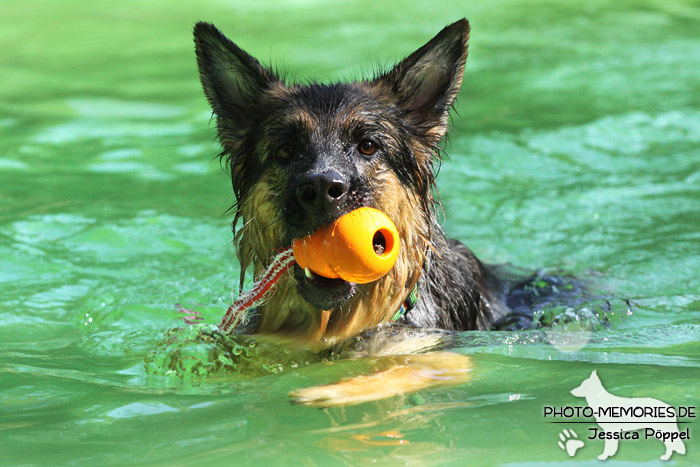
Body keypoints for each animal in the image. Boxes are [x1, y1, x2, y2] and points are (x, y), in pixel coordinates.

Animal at [193, 18, 580, 406]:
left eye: (368, 146)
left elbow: (402, 368)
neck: (336, 327)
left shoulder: (443, 352)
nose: (321, 189)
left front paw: (331, 391)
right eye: (286, 150)